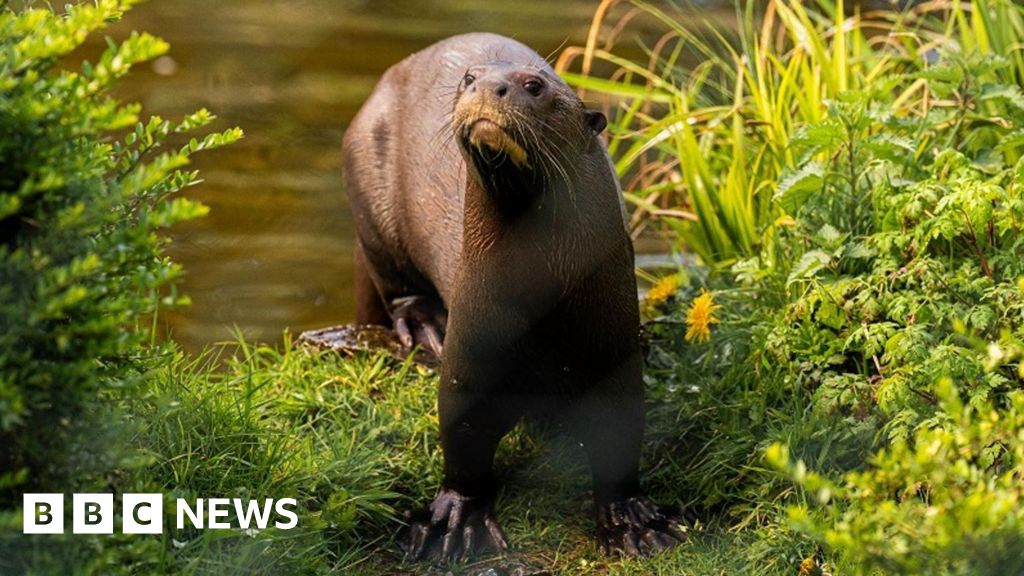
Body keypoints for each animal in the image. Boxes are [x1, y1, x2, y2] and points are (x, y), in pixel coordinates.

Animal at [339, 32, 684, 561]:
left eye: (534, 85)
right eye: (468, 78)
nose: (485, 86)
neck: (537, 299)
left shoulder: (613, 348)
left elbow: (619, 438)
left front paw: (633, 521)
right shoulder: (472, 346)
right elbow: (463, 437)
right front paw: (455, 520)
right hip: (367, 180)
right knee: (394, 282)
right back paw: (423, 324)